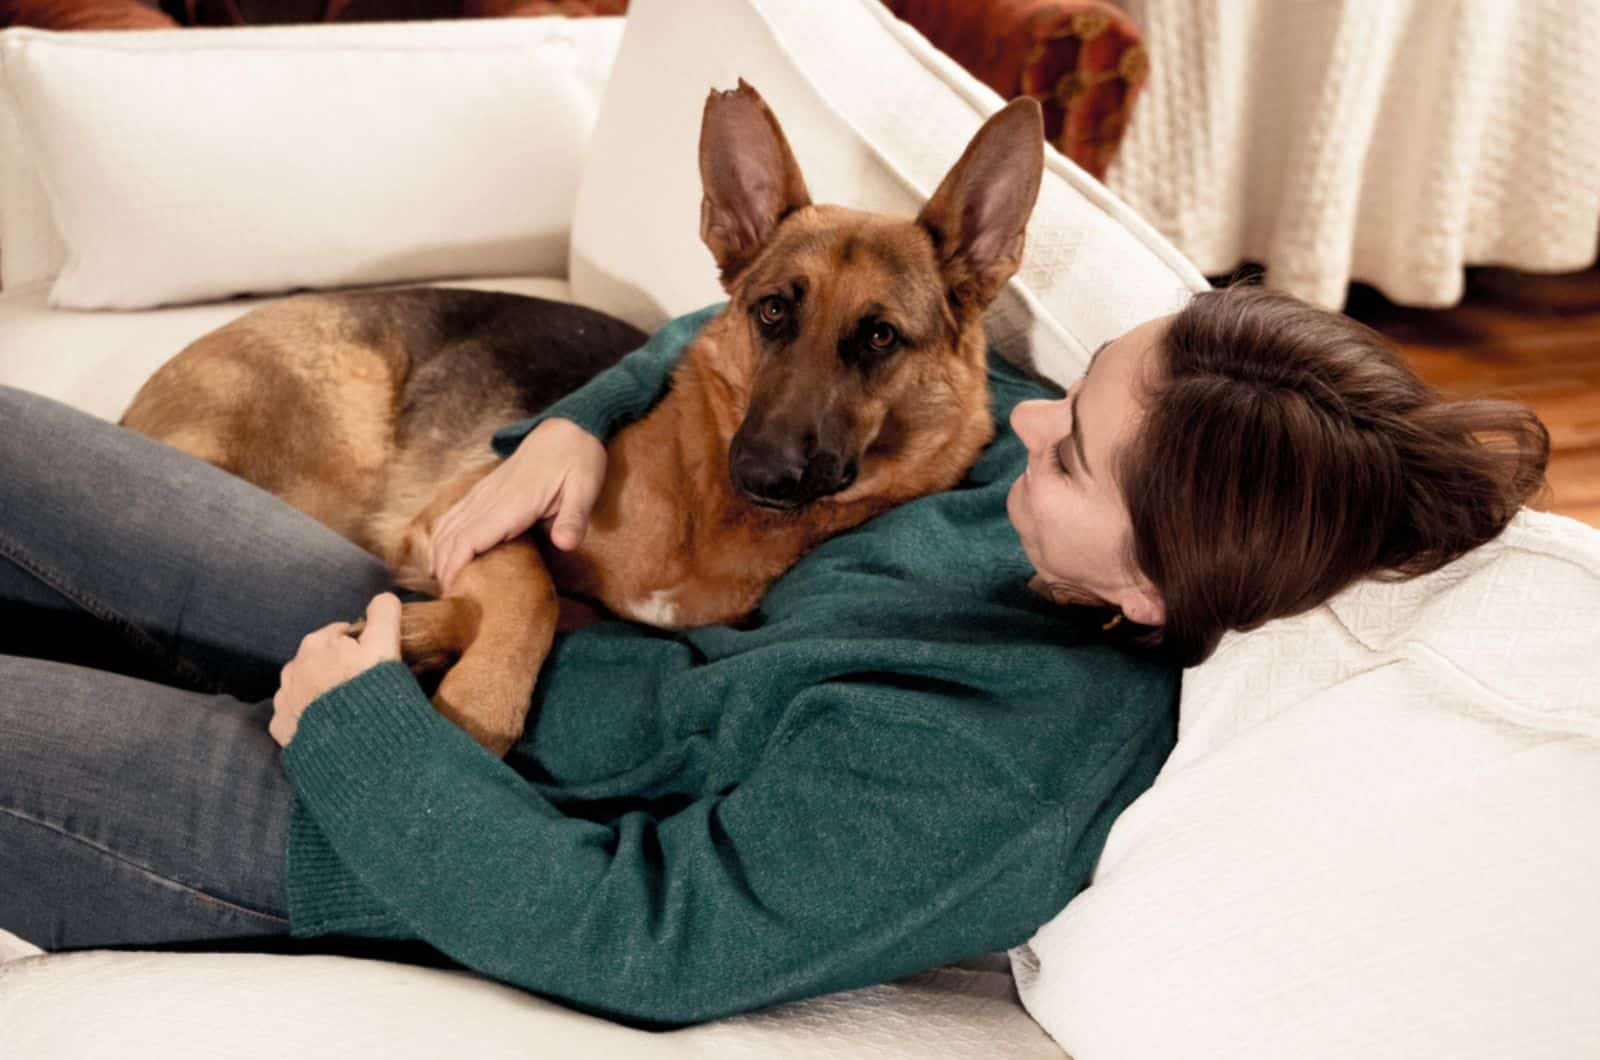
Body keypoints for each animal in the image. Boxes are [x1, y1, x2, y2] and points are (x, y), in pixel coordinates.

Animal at [124, 85, 1049, 765]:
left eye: (881, 337)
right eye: (773, 311)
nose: (762, 471)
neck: (709, 518)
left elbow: (536, 608)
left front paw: (411, 640)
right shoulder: (463, 516)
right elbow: (531, 593)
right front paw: (473, 710)